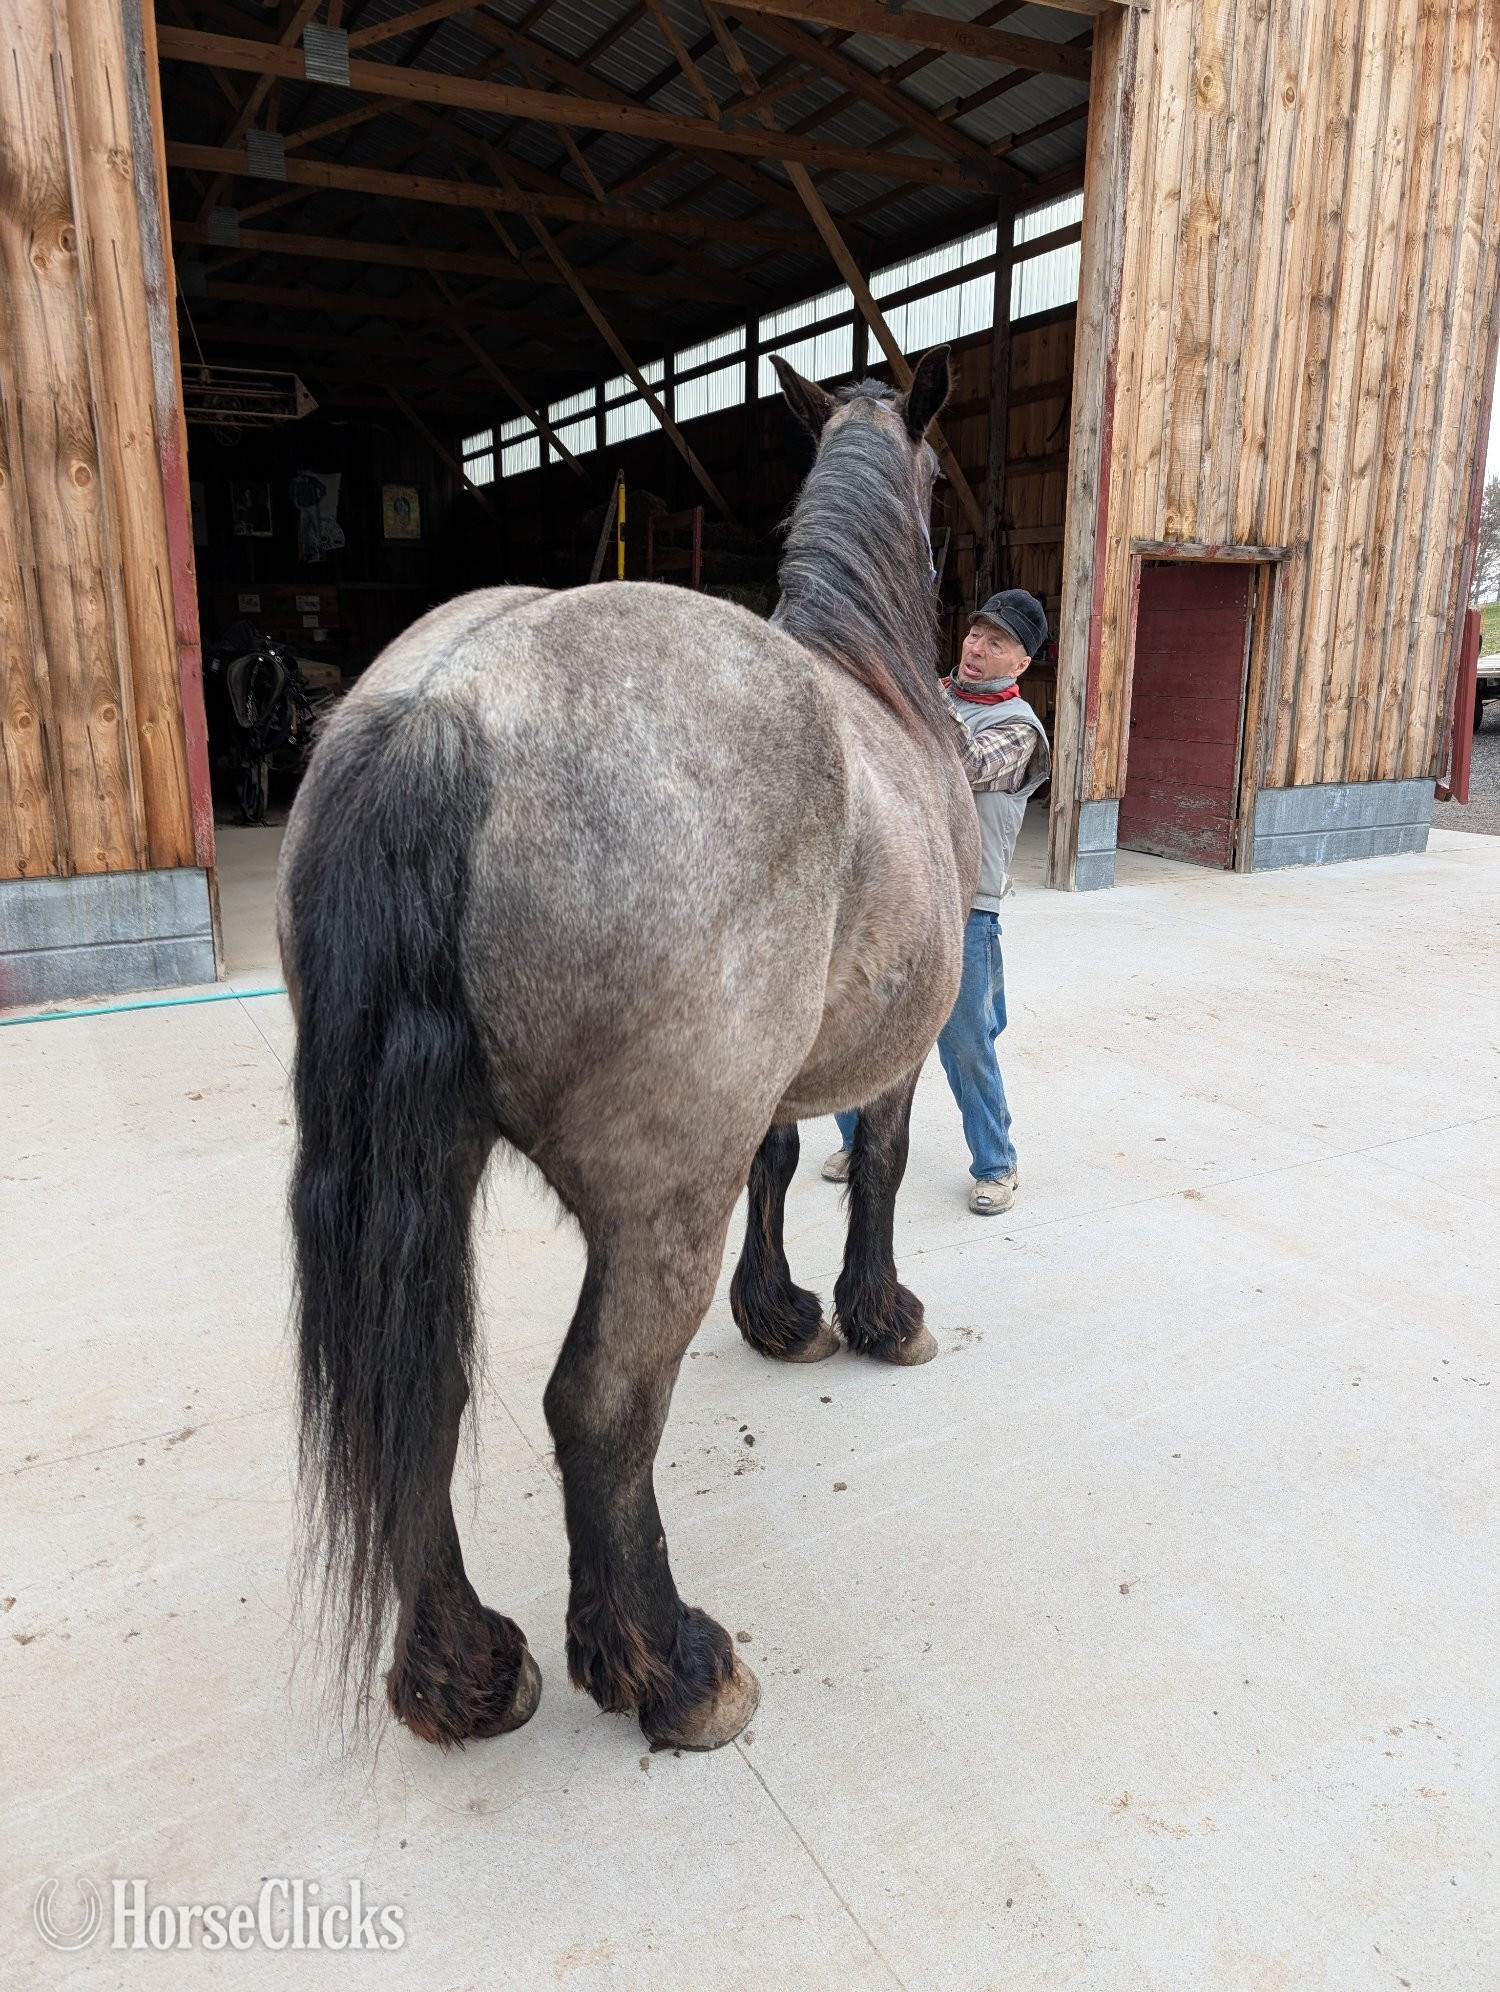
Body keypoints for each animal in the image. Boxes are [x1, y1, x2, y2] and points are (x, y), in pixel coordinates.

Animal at [277, 344, 979, 1757]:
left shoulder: (770, 1086)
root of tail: (451, 707)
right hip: (659, 1205)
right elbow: (873, 1169)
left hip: (424, 1178)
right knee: (598, 1411)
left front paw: (782, 1315)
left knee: (420, 1400)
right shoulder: (893, 1058)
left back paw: (465, 1673)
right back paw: (672, 1665)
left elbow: (780, 1162)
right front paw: (878, 1315)